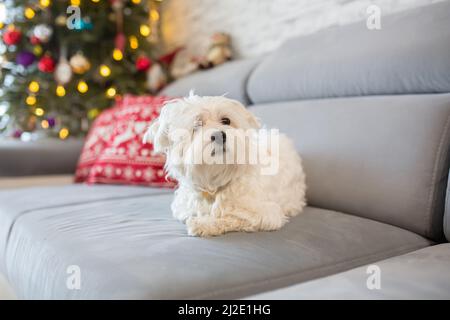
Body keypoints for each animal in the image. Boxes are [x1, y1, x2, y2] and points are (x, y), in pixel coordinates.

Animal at [144, 93, 306, 238]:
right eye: (197, 125)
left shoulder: (266, 214)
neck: (215, 181)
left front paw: (204, 224)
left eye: (226, 120)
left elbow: (233, 217)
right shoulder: (184, 208)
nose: (219, 135)